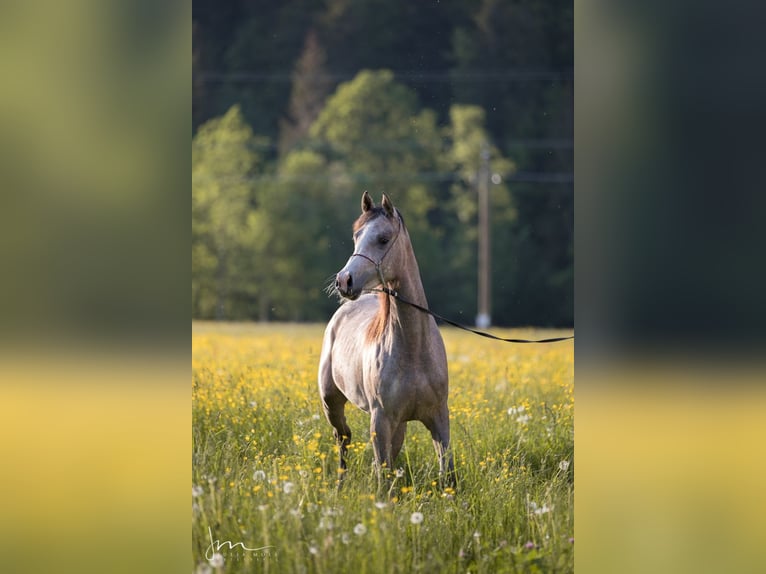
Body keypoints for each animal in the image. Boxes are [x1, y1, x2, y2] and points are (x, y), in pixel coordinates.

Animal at [320, 191, 456, 488]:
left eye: (383, 239)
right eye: (356, 237)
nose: (344, 281)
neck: (413, 350)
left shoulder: (438, 418)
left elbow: (446, 470)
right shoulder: (380, 420)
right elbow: (383, 473)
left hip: (400, 424)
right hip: (331, 402)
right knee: (343, 438)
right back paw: (339, 485)